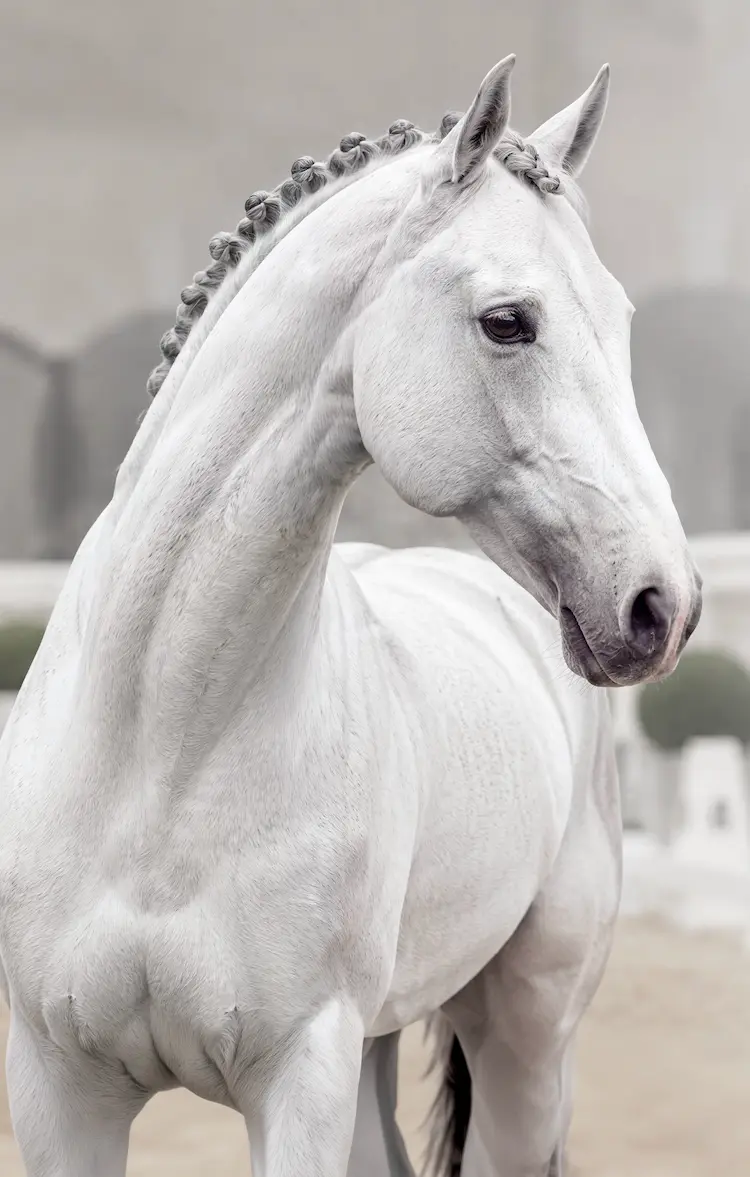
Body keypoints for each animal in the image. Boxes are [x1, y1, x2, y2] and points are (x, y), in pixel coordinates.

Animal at [0, 53, 701, 1177]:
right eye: (509, 320)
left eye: (622, 317)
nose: (660, 605)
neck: (161, 750)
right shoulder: (61, 1085)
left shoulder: (301, 1078)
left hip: (526, 1039)